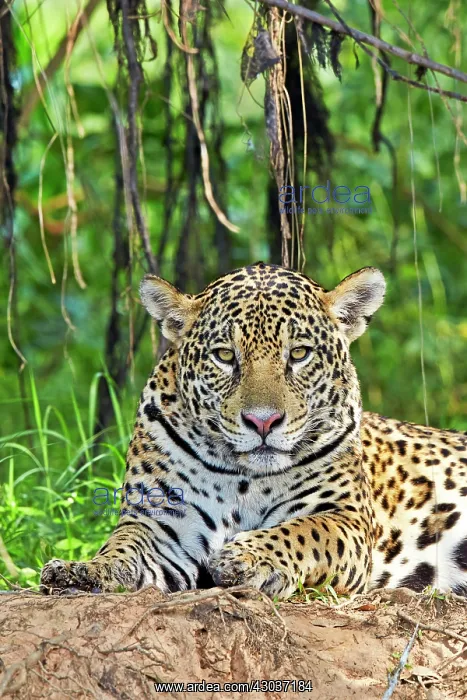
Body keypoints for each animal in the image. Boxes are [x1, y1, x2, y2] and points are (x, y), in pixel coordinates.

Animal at [41, 262, 467, 599]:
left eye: (299, 353)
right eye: (225, 355)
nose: (263, 421)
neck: (245, 477)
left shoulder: (343, 518)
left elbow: (302, 531)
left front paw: (244, 558)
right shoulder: (160, 520)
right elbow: (123, 546)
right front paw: (81, 570)